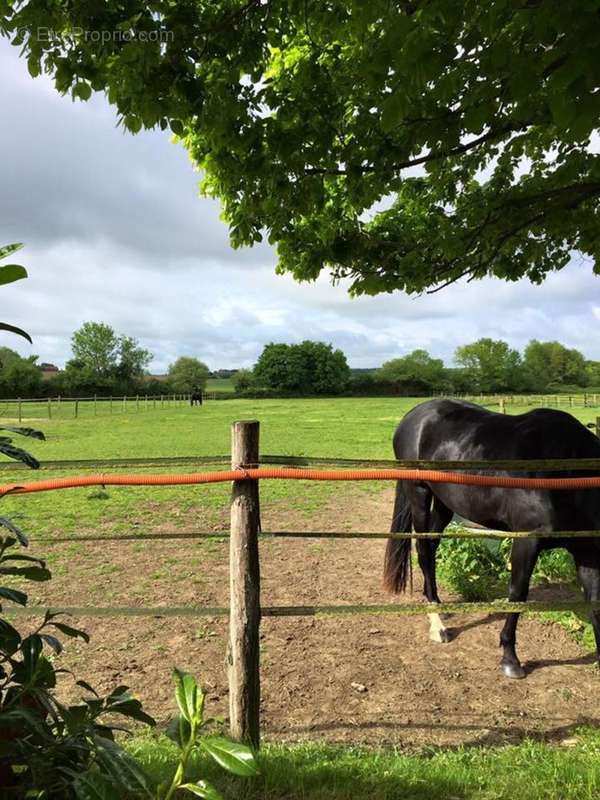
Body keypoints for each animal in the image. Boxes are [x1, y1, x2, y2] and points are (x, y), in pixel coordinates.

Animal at [384, 396, 600, 680]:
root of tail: (413, 415)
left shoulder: (588, 553)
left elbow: (595, 603)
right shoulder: (527, 540)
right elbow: (517, 593)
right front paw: (510, 659)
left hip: (444, 503)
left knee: (430, 549)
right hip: (419, 494)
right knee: (423, 552)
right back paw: (437, 625)